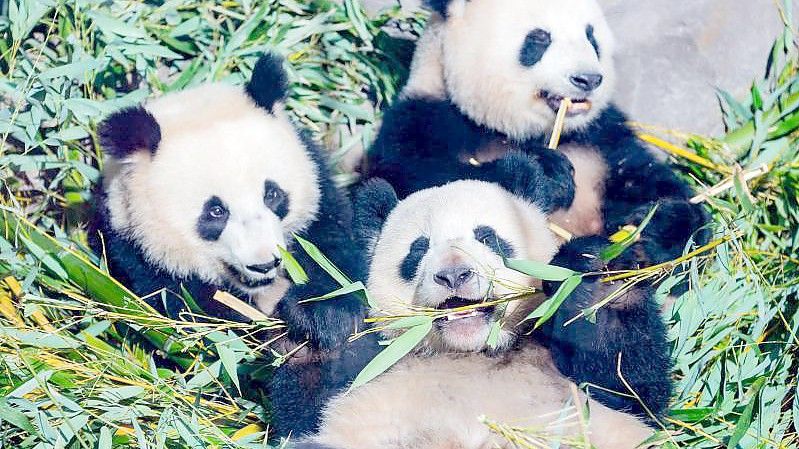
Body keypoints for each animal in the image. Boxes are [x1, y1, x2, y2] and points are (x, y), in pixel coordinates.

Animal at [90, 54, 362, 348]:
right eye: (215, 211)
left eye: (272, 195)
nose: (264, 264)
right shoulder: (134, 251)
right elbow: (197, 316)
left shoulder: (321, 197)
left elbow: (332, 253)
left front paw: (322, 315)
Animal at [274, 178, 676, 438]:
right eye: (419, 249)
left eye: (488, 237)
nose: (454, 274)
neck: (470, 352)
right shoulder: (375, 369)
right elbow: (305, 413)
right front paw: (326, 318)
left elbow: (630, 387)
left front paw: (595, 279)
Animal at [366, 0, 708, 270]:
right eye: (540, 39)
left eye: (591, 37)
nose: (588, 78)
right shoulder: (423, 121)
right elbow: (421, 185)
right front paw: (545, 173)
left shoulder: (602, 137)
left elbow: (646, 180)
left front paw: (661, 224)